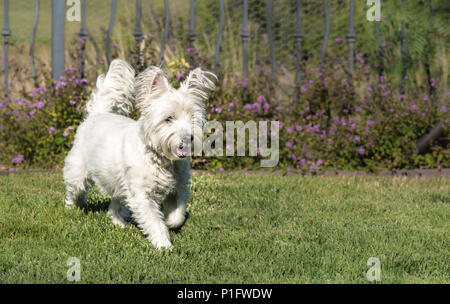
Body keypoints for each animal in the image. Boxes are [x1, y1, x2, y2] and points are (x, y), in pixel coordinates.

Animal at [63, 59, 216, 249]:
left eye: (193, 118)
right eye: (169, 118)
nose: (188, 137)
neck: (160, 160)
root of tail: (97, 114)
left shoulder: (179, 188)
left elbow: (178, 214)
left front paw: (170, 223)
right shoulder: (143, 196)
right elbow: (154, 222)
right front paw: (163, 245)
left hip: (120, 182)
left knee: (115, 205)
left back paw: (119, 223)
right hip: (79, 172)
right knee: (74, 191)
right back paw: (73, 207)